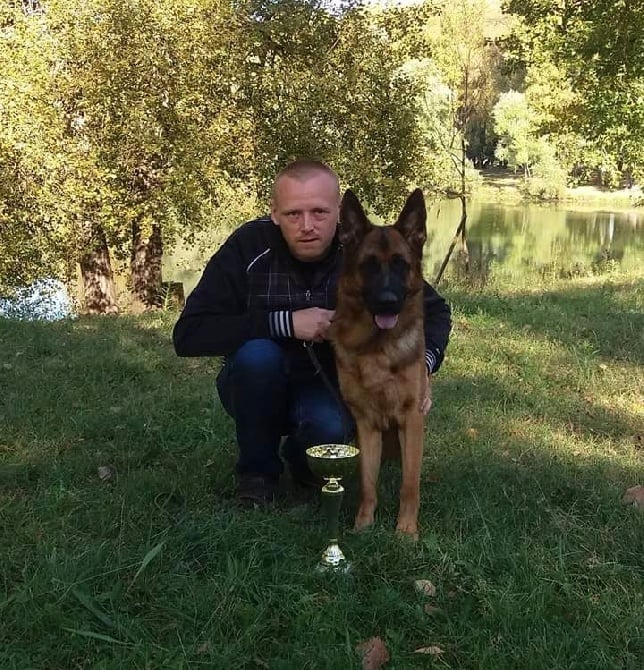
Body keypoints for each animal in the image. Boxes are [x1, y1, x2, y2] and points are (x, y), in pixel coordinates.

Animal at [330, 188, 430, 540]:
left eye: (400, 265)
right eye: (370, 266)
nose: (388, 302)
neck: (379, 348)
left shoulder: (411, 420)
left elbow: (410, 484)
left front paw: (406, 530)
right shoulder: (366, 423)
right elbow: (367, 483)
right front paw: (364, 525)